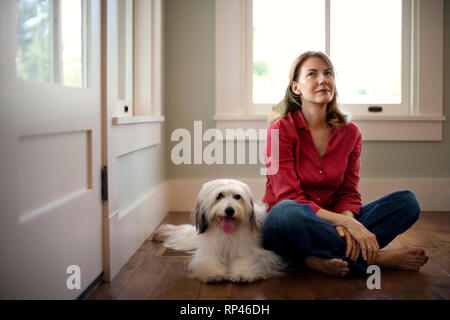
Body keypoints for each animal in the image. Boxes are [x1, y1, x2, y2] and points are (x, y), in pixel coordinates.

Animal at [152, 180, 284, 282]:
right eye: (219, 196)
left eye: (237, 196)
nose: (229, 210)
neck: (226, 233)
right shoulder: (210, 250)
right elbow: (209, 260)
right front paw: (214, 273)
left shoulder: (253, 251)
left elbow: (248, 259)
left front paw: (242, 272)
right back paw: (162, 232)